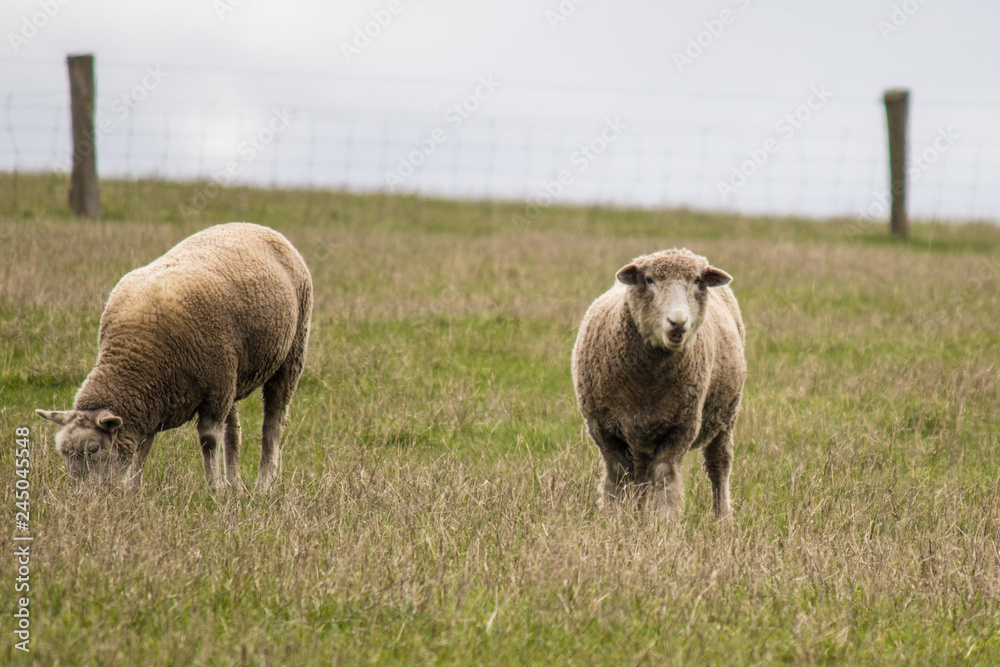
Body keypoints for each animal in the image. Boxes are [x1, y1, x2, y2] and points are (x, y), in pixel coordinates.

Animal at [36, 222, 313, 492]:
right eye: (64, 454)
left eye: (94, 450)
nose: (82, 499)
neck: (133, 356)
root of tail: (259, 226)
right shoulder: (153, 400)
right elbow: (144, 445)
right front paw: (132, 489)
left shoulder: (213, 391)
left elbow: (209, 441)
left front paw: (213, 489)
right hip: (232, 374)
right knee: (233, 430)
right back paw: (234, 485)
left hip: (289, 356)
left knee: (272, 425)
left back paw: (262, 486)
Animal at [571, 248, 746, 519]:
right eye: (649, 280)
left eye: (697, 281)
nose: (677, 323)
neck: (648, 384)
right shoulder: (602, 427)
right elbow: (618, 474)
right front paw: (615, 518)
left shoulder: (681, 426)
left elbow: (664, 476)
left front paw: (664, 520)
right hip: (640, 433)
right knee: (640, 474)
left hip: (726, 416)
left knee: (719, 466)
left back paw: (722, 518)